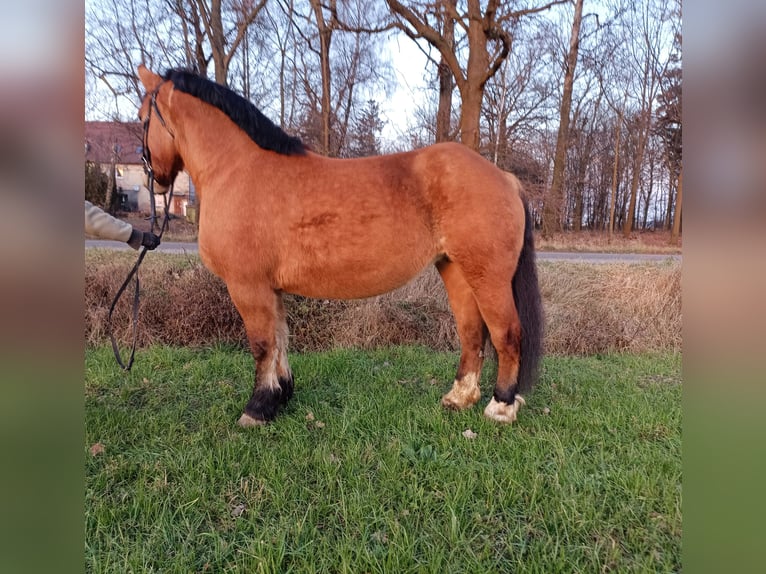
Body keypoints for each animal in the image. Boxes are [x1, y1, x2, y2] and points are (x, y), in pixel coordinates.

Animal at [140, 65, 544, 430]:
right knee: (472, 333)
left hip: (489, 277)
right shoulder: (271, 289)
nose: (154, 178)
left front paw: (257, 409)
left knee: (507, 334)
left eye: (143, 117)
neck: (237, 169)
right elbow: (281, 340)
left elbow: (262, 345)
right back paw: (459, 398)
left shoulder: (248, 286)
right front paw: (280, 397)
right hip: (456, 270)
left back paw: (500, 406)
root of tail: (504, 177)